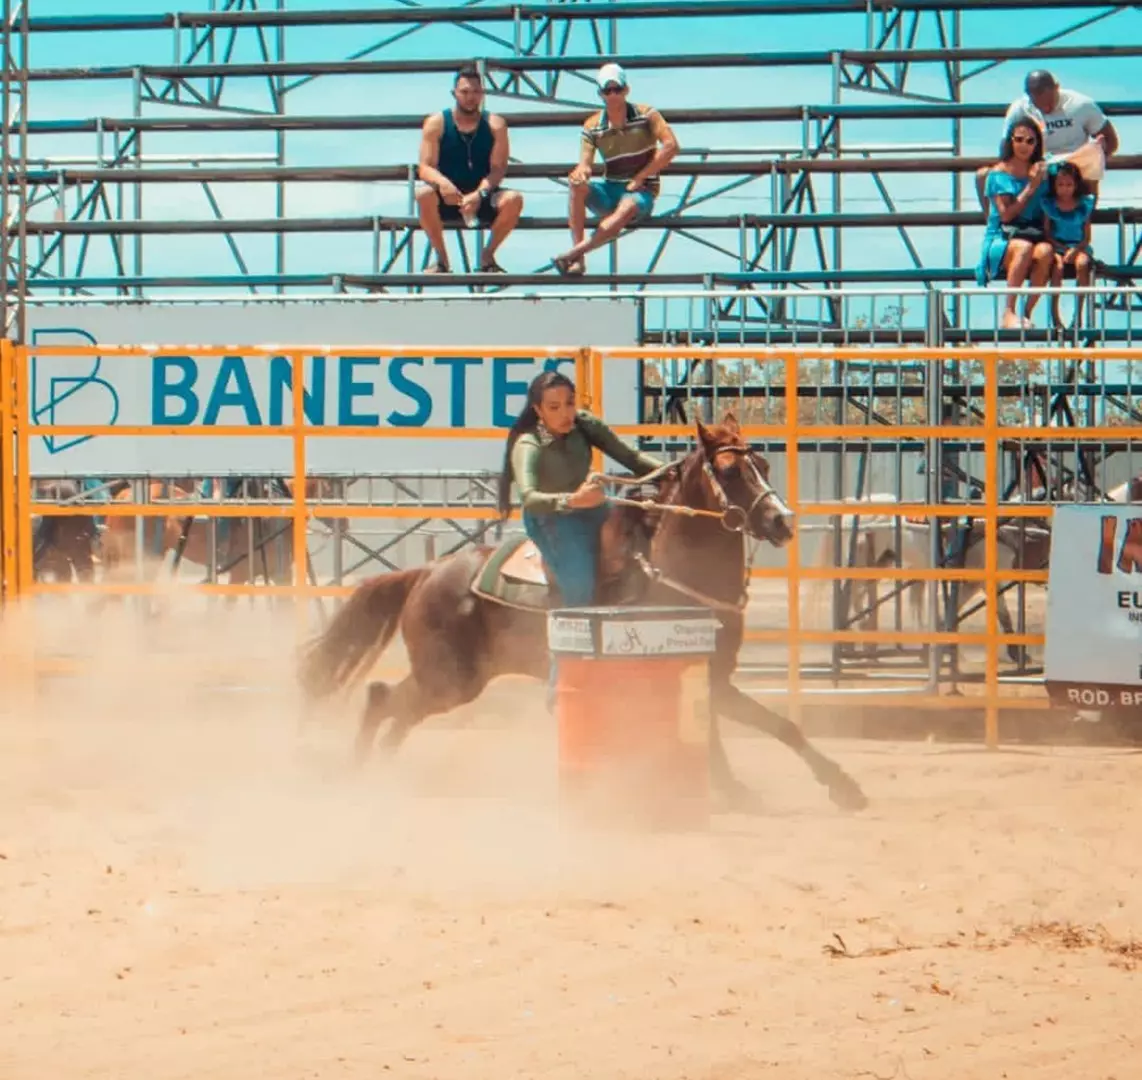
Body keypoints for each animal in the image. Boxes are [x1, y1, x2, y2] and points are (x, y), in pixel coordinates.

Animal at [299, 410, 867, 808]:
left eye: (763, 465)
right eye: (728, 470)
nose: (781, 521)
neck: (674, 570)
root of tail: (427, 572)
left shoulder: (714, 674)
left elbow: (779, 727)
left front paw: (842, 788)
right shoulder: (699, 675)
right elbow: (730, 733)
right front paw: (743, 789)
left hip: (451, 680)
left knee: (395, 709)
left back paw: (379, 773)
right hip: (450, 678)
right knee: (382, 700)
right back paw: (358, 776)